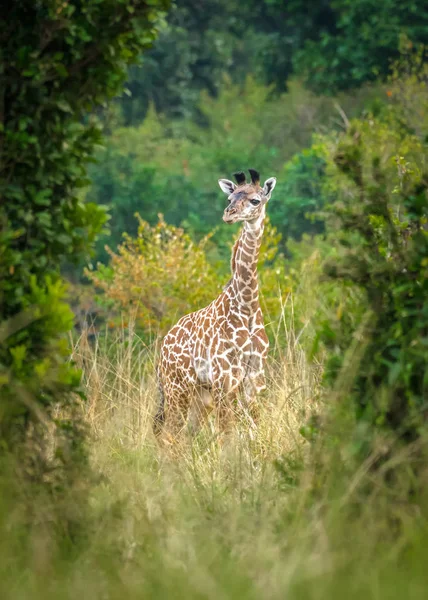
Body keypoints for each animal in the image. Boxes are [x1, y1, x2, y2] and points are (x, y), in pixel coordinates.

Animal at [155, 169, 278, 440]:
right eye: (230, 198)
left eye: (255, 200)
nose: (228, 214)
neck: (246, 306)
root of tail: (162, 350)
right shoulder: (226, 378)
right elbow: (228, 434)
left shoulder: (255, 378)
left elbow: (254, 429)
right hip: (177, 388)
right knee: (170, 436)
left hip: (200, 395)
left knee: (185, 436)